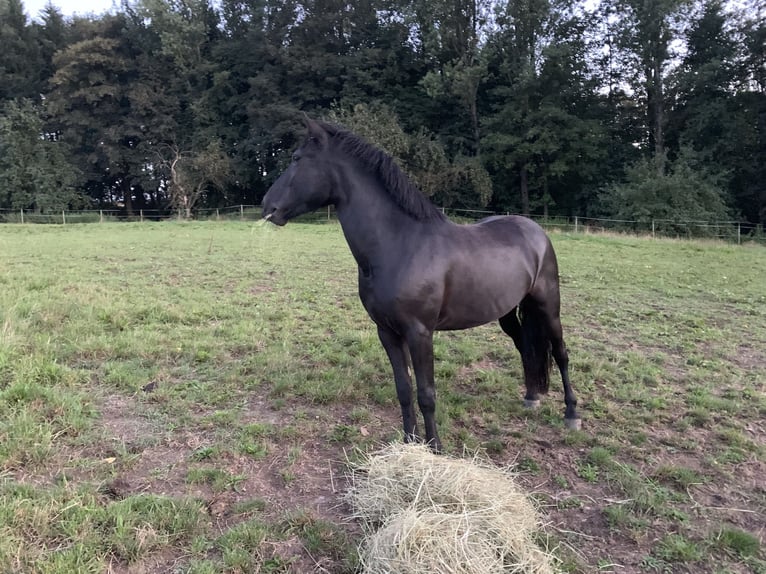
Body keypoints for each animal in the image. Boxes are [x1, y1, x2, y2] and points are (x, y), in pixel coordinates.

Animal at [264, 118, 584, 454]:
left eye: (297, 158)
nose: (267, 207)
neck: (400, 245)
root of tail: (535, 230)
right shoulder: (387, 332)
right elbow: (404, 390)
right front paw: (409, 442)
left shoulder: (420, 333)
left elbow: (427, 394)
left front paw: (435, 448)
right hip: (506, 311)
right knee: (525, 345)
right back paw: (532, 396)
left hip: (548, 306)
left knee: (561, 353)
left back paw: (571, 414)